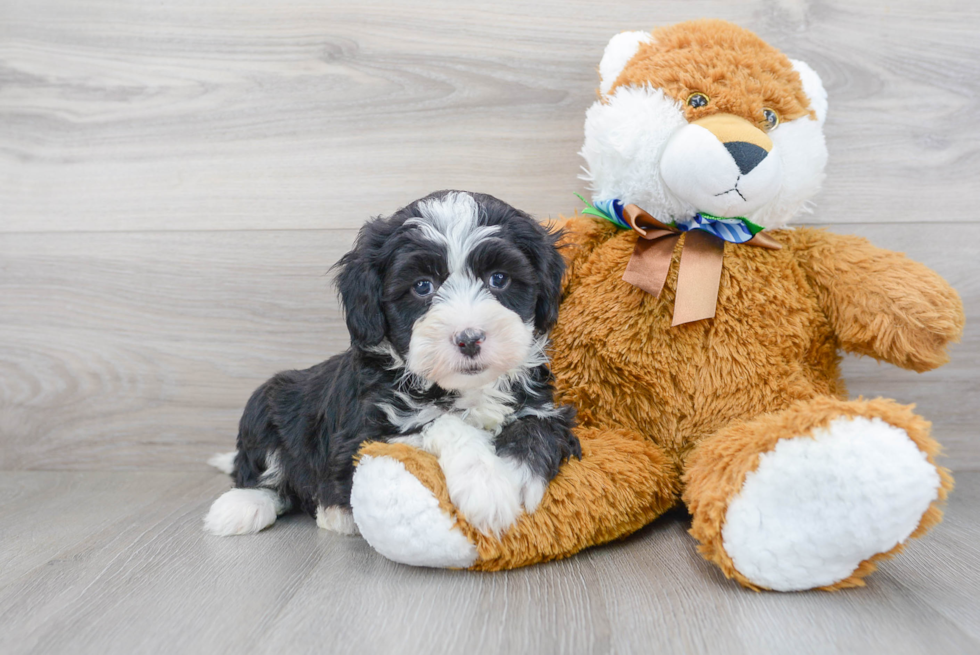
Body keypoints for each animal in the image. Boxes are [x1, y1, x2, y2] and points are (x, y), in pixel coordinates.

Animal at [203, 190, 580, 540]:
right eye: (422, 286)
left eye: (499, 279)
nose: (469, 338)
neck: (463, 390)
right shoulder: (362, 437)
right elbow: (441, 422)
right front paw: (486, 484)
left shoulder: (543, 407)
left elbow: (537, 426)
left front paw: (514, 474)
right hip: (266, 402)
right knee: (262, 473)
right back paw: (247, 506)